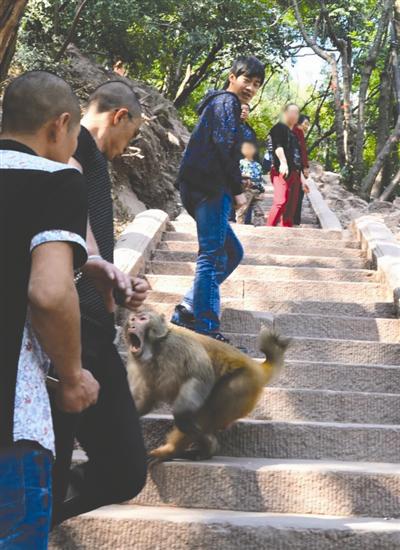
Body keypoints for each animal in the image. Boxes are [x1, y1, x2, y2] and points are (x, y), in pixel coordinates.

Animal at [123, 312, 290, 464]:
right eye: (132, 319)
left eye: (142, 319)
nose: (132, 325)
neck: (156, 349)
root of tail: (256, 367)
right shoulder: (136, 362)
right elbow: (143, 400)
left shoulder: (176, 345)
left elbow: (200, 376)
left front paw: (182, 415)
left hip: (243, 384)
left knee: (205, 411)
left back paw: (180, 449)